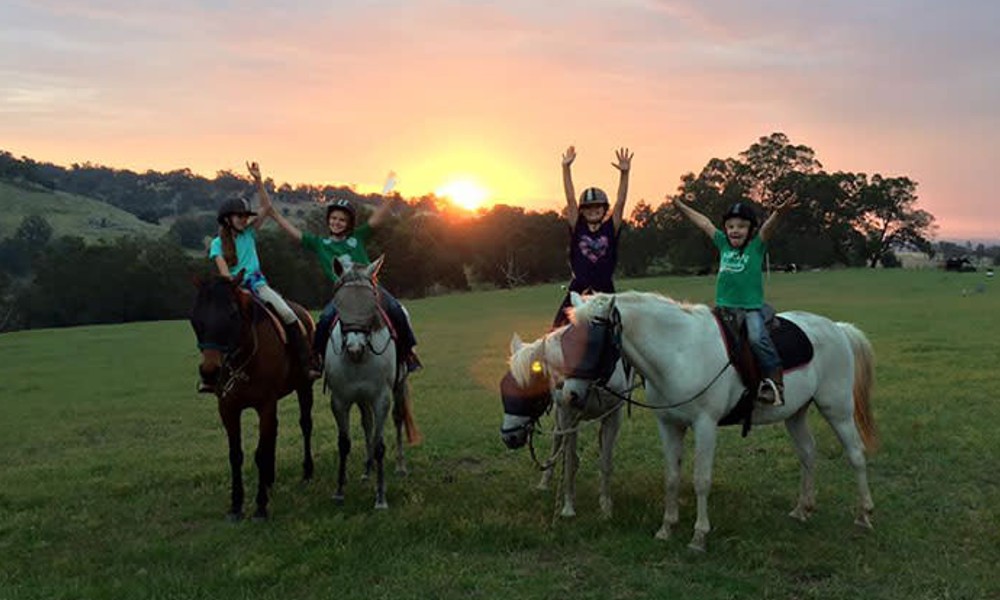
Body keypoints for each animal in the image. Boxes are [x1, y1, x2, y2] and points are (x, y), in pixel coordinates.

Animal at [188, 274, 312, 520]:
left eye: (232, 314)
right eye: (195, 317)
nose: (210, 372)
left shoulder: (265, 404)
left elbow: (261, 453)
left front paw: (261, 506)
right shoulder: (228, 408)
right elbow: (236, 455)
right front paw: (236, 505)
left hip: (304, 387)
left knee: (305, 424)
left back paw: (307, 471)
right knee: (274, 431)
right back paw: (270, 479)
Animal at [324, 255, 418, 508]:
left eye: (370, 301)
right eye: (340, 302)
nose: (354, 348)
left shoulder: (381, 398)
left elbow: (379, 444)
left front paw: (380, 497)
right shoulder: (340, 400)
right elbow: (344, 442)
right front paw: (339, 491)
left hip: (398, 387)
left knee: (397, 419)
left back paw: (400, 466)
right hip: (360, 397)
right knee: (367, 423)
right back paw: (368, 469)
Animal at [504, 326, 636, 516]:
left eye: (527, 388)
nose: (509, 437)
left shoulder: (613, 416)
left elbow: (605, 460)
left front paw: (605, 506)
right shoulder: (567, 416)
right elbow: (569, 459)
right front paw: (568, 507)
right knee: (557, 440)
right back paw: (544, 481)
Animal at [564, 292, 876, 552]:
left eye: (593, 342)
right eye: (568, 339)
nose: (570, 394)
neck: (679, 352)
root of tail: (837, 328)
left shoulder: (705, 425)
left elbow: (701, 479)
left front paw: (699, 536)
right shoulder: (668, 425)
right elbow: (672, 476)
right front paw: (667, 527)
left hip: (837, 408)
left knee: (856, 454)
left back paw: (864, 513)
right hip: (796, 413)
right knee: (808, 453)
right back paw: (803, 509)